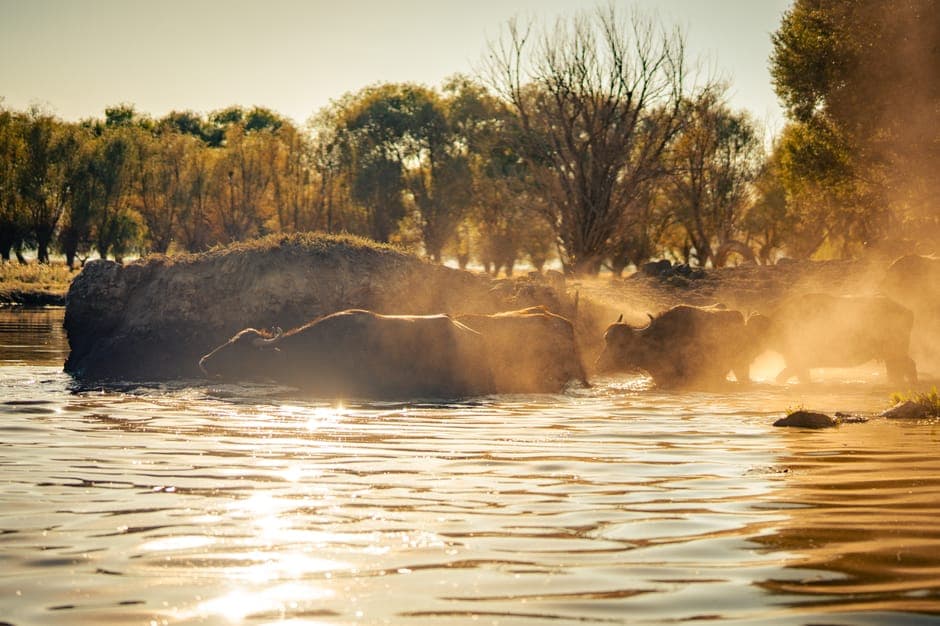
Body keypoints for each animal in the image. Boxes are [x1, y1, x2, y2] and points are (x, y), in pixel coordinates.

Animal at [765, 293, 917, 385]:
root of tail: (909, 312)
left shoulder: (798, 360)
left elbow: (783, 376)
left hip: (895, 350)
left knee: (907, 366)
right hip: (892, 353)